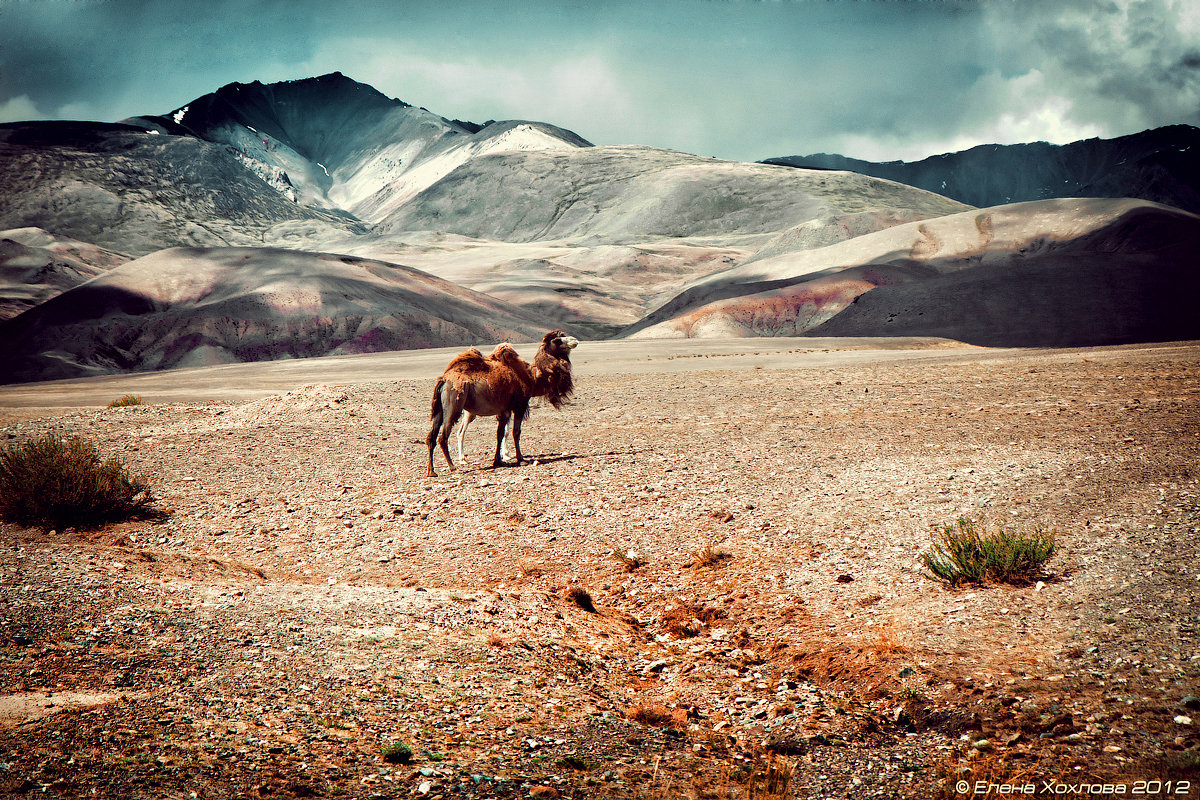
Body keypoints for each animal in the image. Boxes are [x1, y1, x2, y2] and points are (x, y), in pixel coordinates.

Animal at [427, 331, 580, 479]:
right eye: (557, 339)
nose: (575, 340)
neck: (532, 378)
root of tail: (443, 380)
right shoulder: (519, 405)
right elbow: (515, 432)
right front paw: (521, 459)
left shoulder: (504, 409)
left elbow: (500, 433)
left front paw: (498, 460)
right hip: (454, 405)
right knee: (443, 437)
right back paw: (453, 467)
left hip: (440, 410)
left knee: (431, 437)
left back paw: (431, 471)